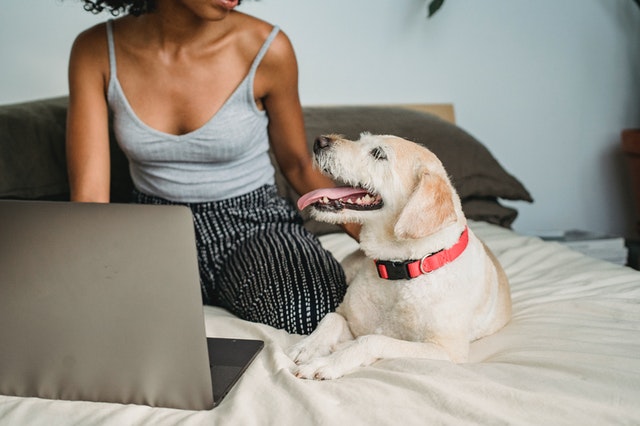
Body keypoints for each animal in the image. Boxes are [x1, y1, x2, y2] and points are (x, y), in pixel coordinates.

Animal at [288, 133, 512, 380]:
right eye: (361, 139)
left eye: (378, 153)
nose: (320, 141)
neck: (400, 269)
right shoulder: (349, 320)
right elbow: (332, 318)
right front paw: (308, 346)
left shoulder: (445, 351)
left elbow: (372, 340)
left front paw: (328, 362)